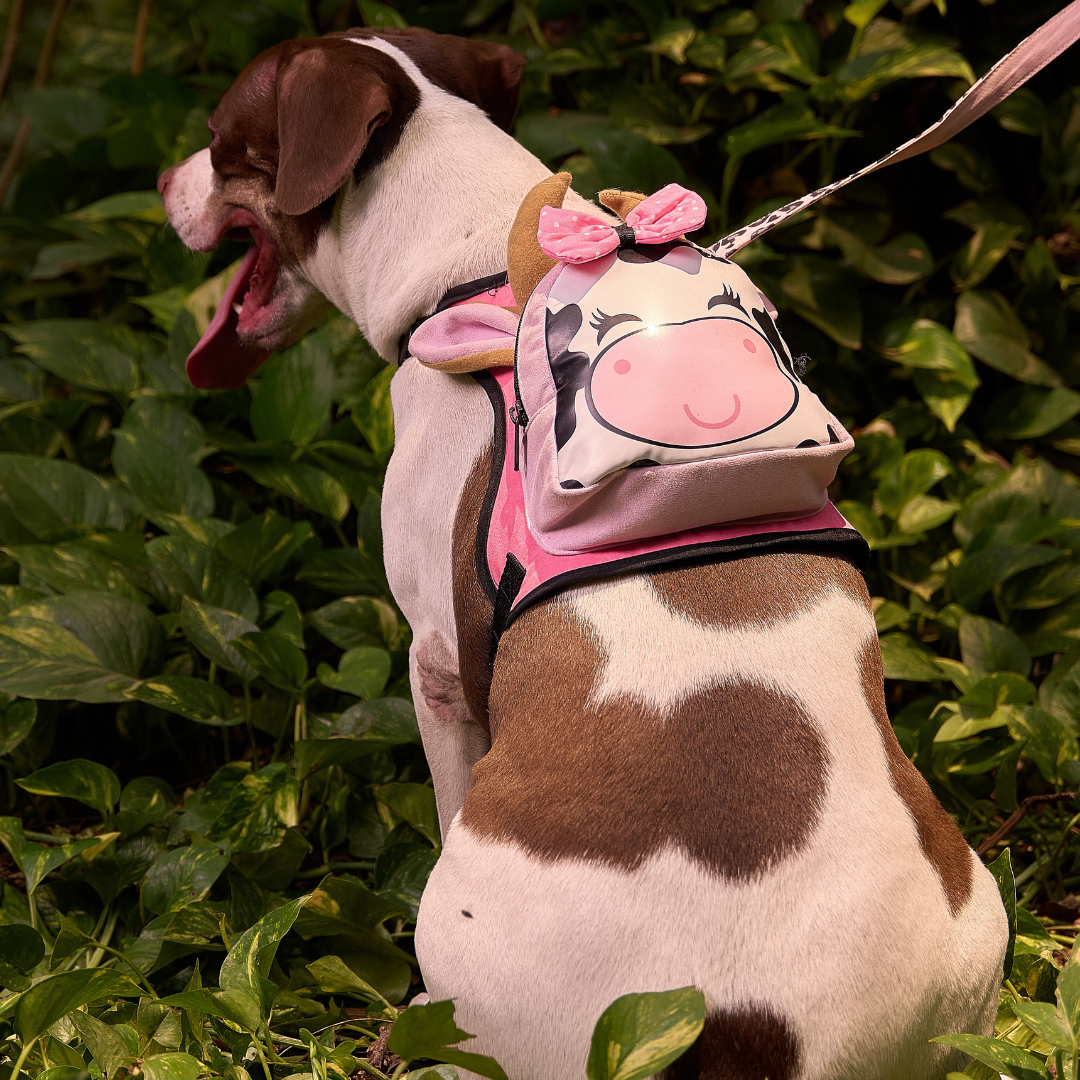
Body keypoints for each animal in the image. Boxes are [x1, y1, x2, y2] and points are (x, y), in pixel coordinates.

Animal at [162, 27, 1010, 1080]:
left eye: (219, 139)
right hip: (977, 915)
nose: (164, 179)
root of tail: (733, 1023)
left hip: (465, 940)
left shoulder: (440, 663)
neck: (478, 252)